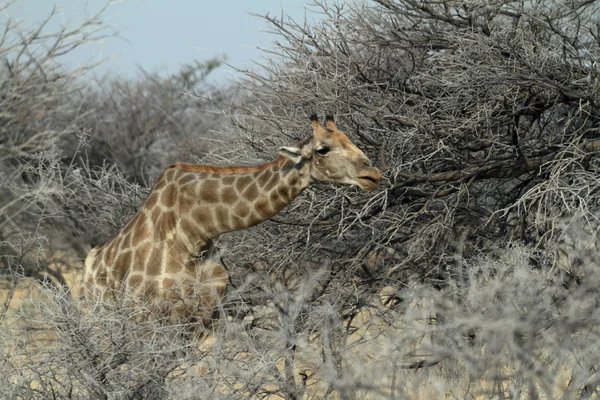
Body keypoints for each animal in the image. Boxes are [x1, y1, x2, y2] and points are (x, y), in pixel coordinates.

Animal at [82, 115, 382, 328]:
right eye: (323, 149)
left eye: (349, 138)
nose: (372, 174)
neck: (194, 232)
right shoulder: (159, 318)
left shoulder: (206, 316)